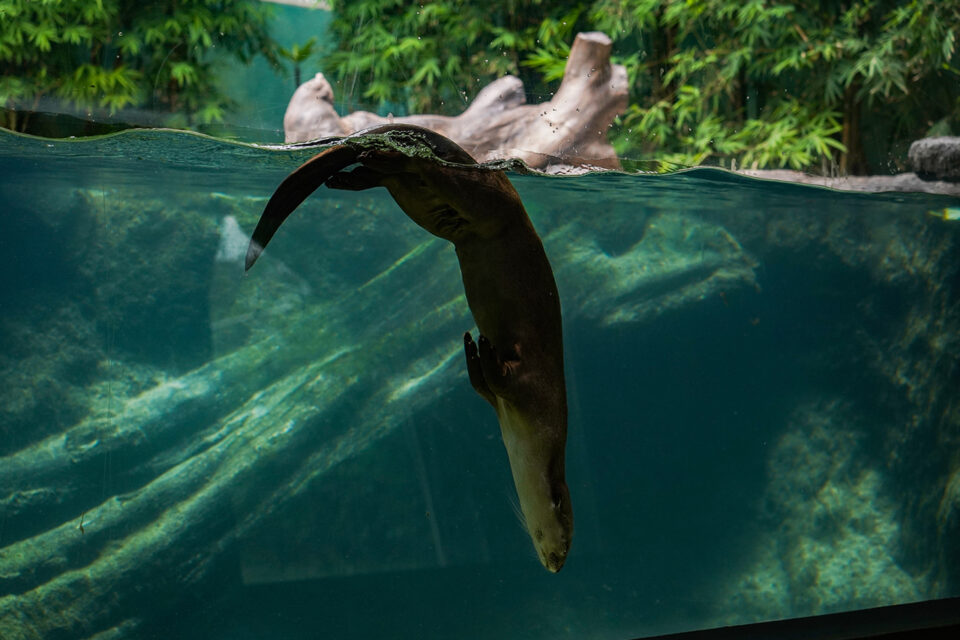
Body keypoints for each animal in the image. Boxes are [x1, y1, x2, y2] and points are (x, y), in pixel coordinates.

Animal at [246, 125, 572, 572]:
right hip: (482, 197)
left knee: (394, 178)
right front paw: (481, 347)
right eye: (566, 538)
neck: (536, 419)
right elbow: (503, 374)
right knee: (425, 169)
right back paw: (381, 156)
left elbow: (483, 385)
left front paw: (473, 351)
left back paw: (350, 176)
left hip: (427, 202)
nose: (556, 563)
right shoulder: (529, 380)